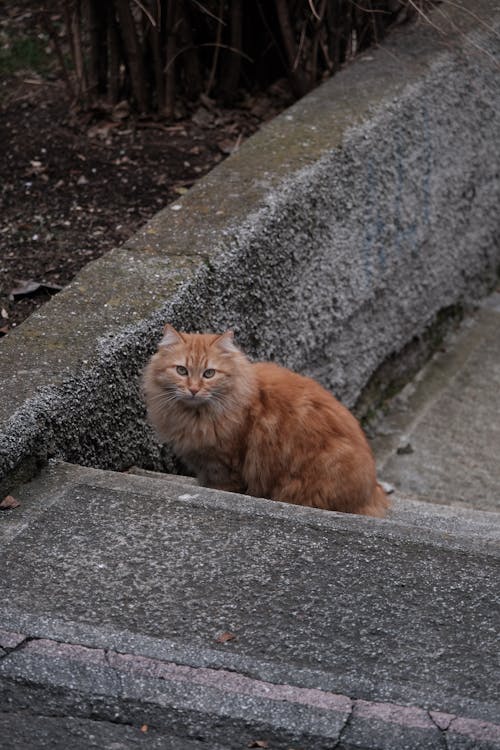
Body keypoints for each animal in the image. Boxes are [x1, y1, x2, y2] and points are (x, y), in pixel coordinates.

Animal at [143, 326, 388, 520]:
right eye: (181, 370)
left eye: (209, 373)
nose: (193, 389)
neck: (196, 416)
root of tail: (372, 492)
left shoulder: (223, 466)